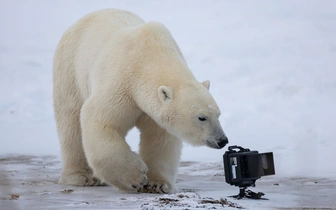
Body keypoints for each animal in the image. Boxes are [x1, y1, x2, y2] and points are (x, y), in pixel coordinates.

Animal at [53, 9, 228, 194]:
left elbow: (159, 139)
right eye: (202, 117)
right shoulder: (121, 84)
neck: (148, 58)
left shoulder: (152, 111)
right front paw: (135, 178)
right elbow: (101, 121)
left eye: (218, 114)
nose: (222, 140)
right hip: (70, 70)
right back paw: (81, 176)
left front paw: (158, 184)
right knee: (71, 122)